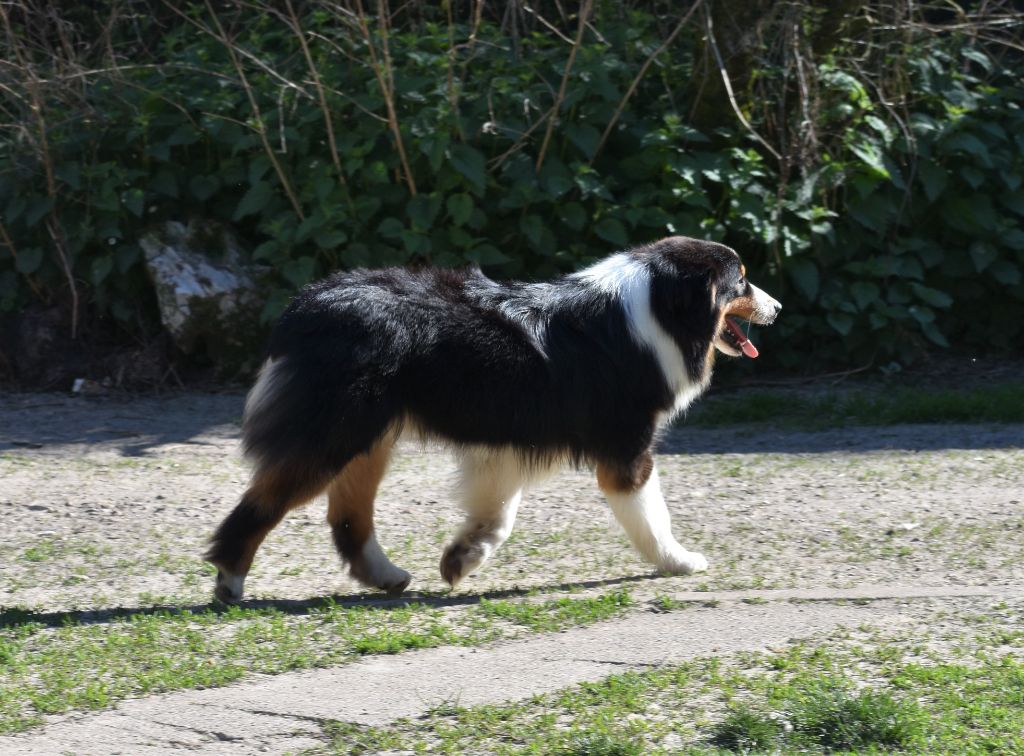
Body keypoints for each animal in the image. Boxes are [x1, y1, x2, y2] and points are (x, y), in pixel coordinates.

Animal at [206, 236, 781, 603]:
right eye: (742, 282)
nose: (777, 307)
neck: (658, 308)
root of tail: (305, 305)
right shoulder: (627, 450)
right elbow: (652, 516)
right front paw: (678, 561)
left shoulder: (507, 444)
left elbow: (498, 515)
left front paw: (463, 557)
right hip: (333, 435)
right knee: (263, 503)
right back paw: (229, 580)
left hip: (370, 438)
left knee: (348, 517)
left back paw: (386, 575)